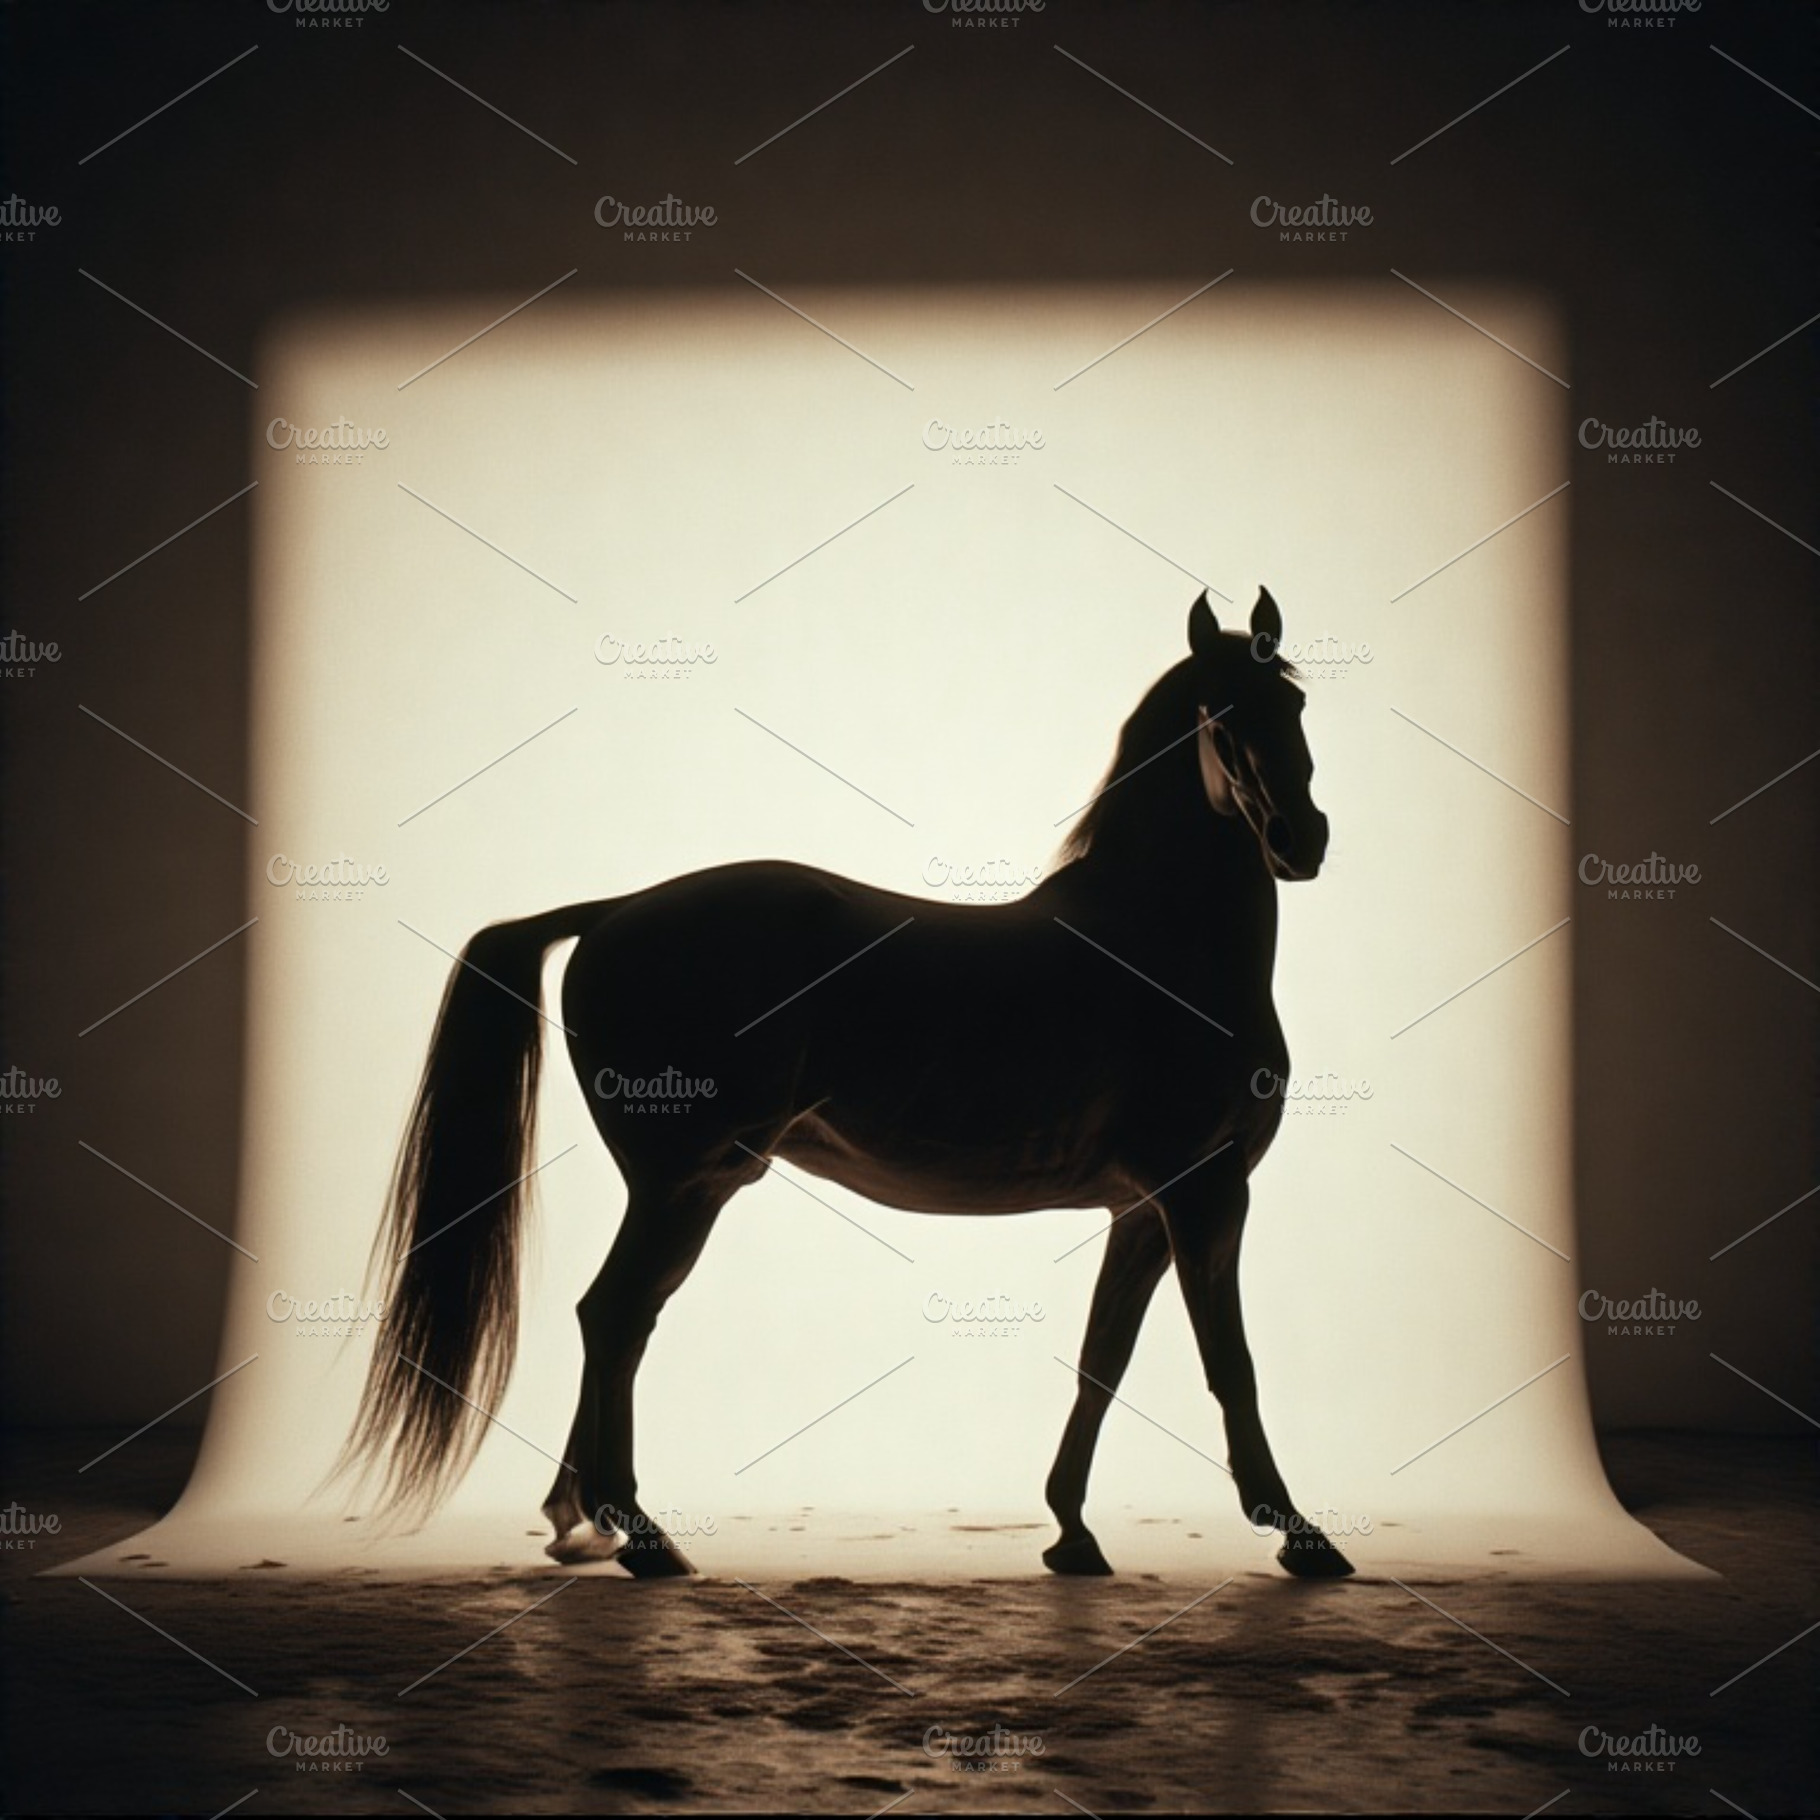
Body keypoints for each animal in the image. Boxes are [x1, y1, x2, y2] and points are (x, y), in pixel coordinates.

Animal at [347, 585, 1354, 1581]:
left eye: (1294, 705)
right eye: (1220, 713)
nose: (1299, 841)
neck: (1154, 944)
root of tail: (613, 913)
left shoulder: (1141, 1209)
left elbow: (1102, 1360)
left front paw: (1070, 1531)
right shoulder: (1205, 1194)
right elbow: (1230, 1363)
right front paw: (1300, 1535)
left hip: (690, 1188)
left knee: (620, 1320)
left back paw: (583, 1524)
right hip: (685, 1185)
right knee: (614, 1316)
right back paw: (641, 1534)